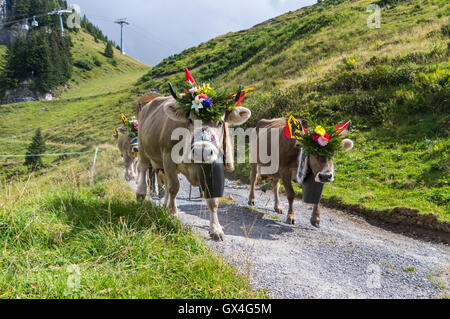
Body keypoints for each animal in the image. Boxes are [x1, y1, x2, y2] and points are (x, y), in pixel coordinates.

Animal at [135, 69, 253, 241]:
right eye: (190, 120)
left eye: (220, 122)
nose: (201, 150)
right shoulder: (168, 158)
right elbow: (174, 187)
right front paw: (173, 216)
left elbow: (212, 198)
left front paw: (215, 229)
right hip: (144, 148)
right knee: (144, 169)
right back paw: (141, 194)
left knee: (163, 180)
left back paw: (164, 206)